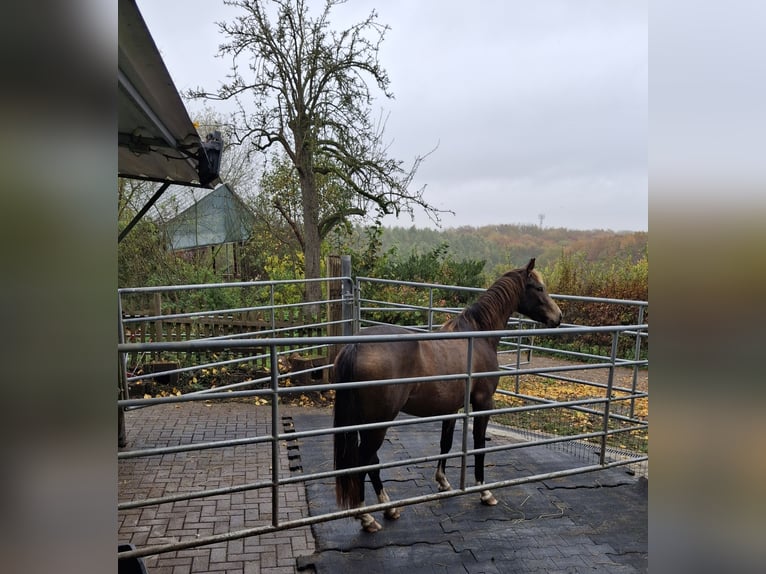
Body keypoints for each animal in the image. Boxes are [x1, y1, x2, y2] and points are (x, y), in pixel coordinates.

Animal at [332, 258, 564, 532]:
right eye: (539, 288)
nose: (558, 316)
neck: (479, 334)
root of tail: (355, 346)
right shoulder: (483, 403)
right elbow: (478, 444)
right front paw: (484, 492)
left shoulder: (451, 408)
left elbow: (446, 443)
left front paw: (443, 482)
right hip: (378, 423)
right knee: (365, 460)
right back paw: (368, 516)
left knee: (371, 461)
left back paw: (388, 509)